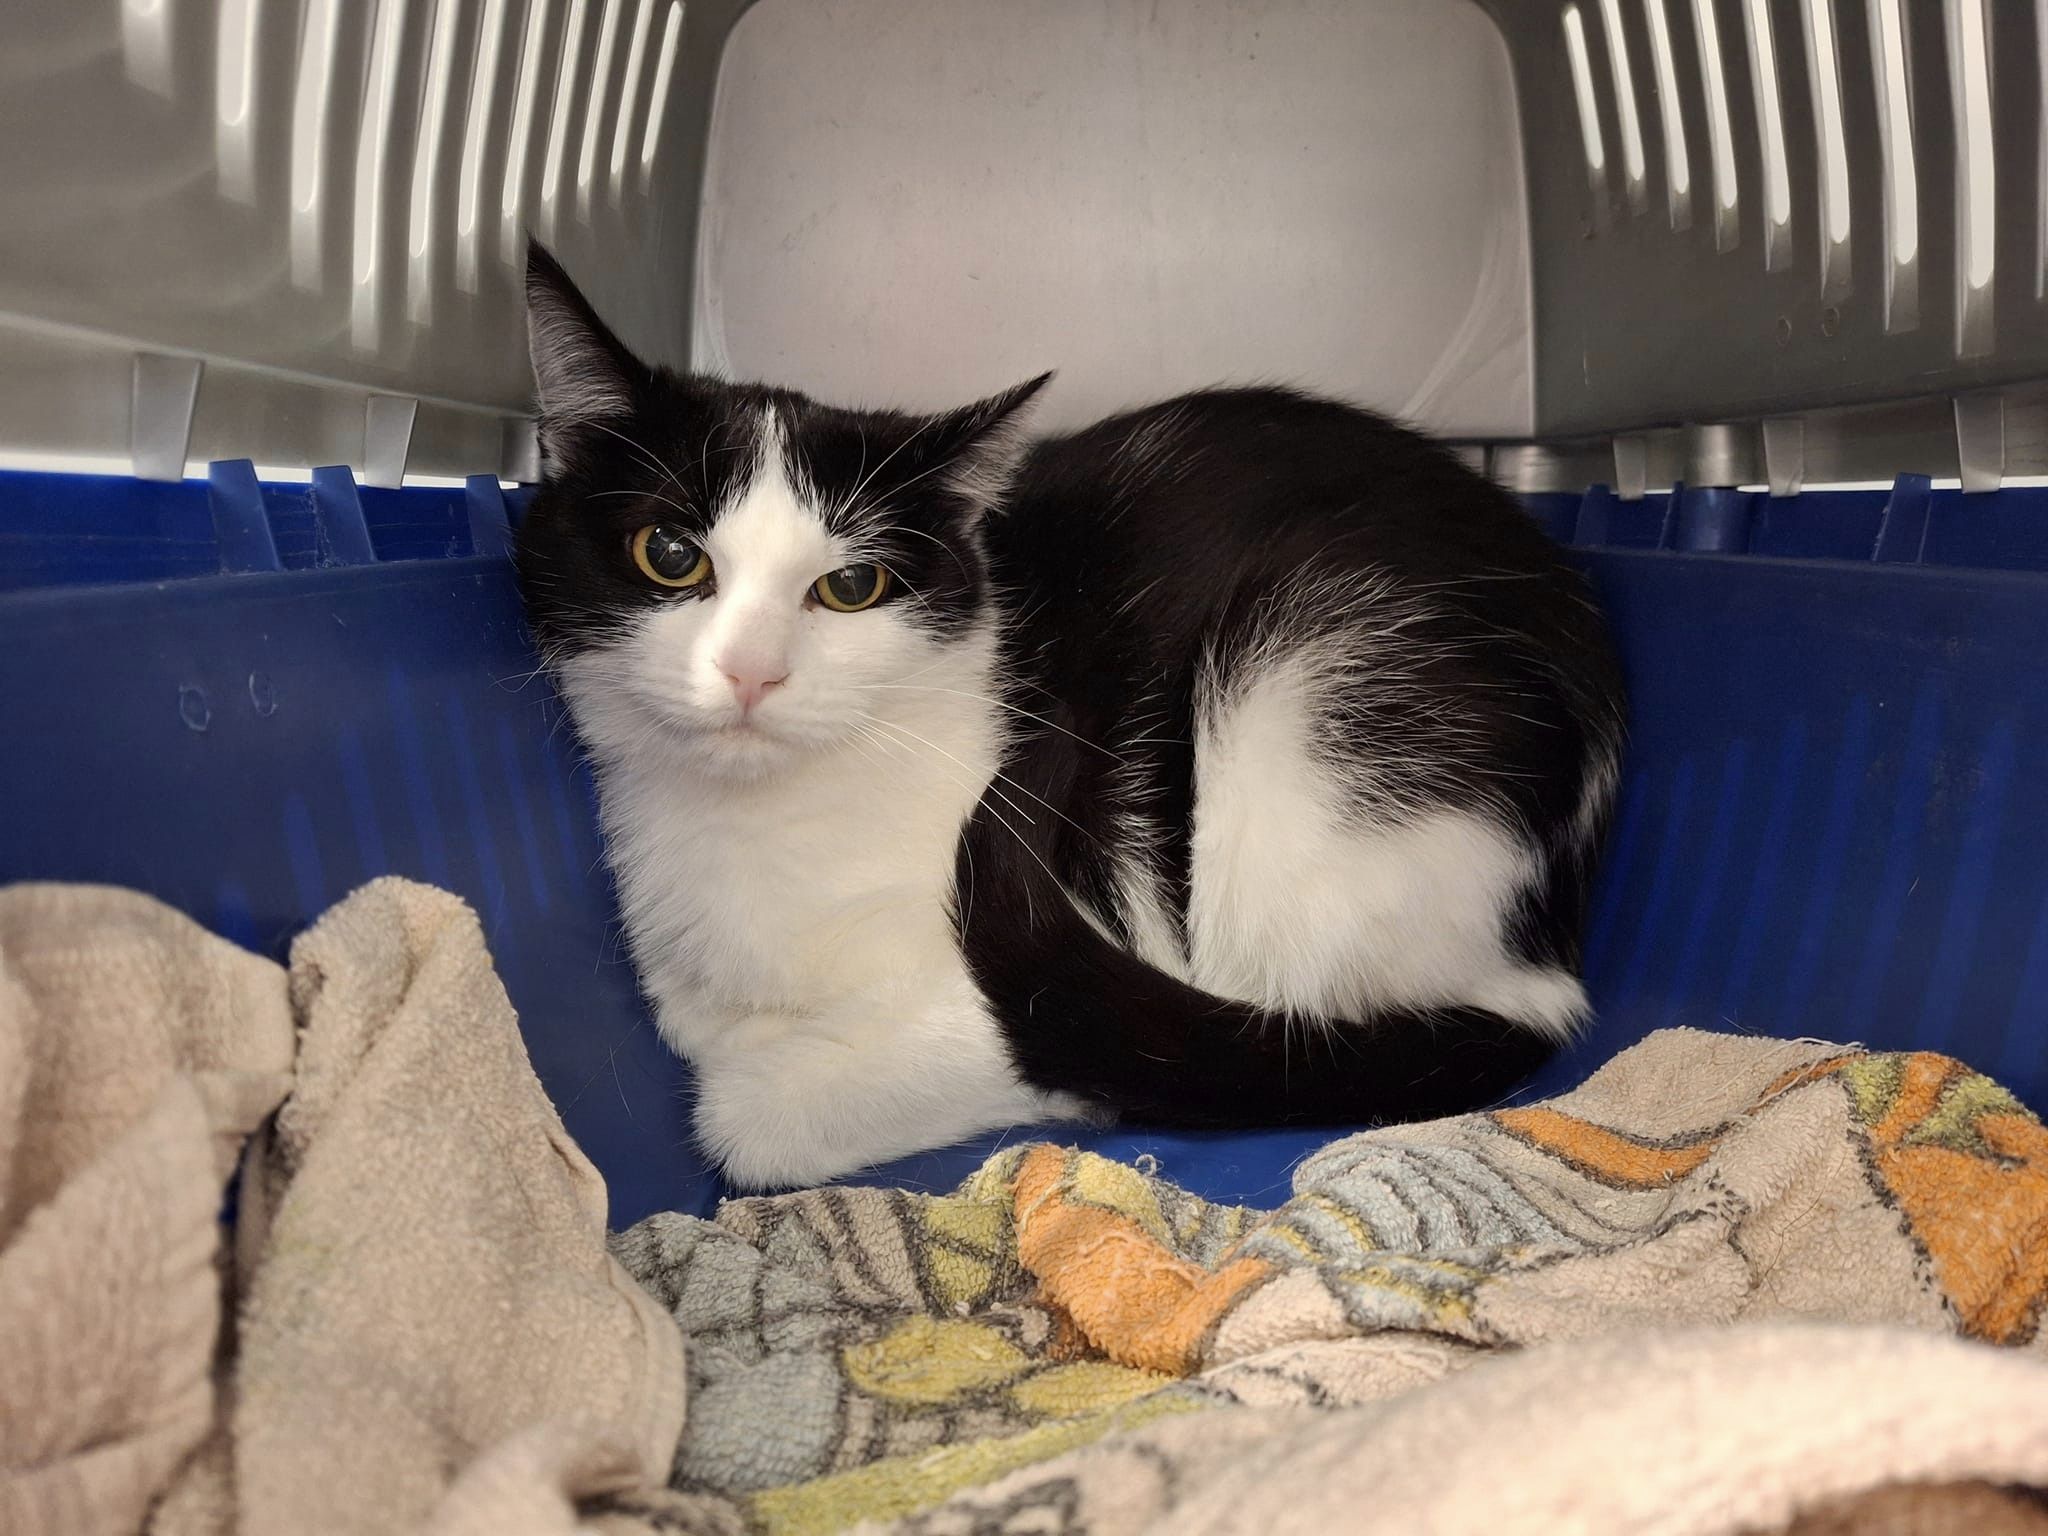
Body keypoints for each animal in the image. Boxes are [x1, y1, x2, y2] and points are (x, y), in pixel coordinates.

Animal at [516, 244, 1626, 1190]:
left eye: (851, 587)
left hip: (1303, 692)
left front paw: (768, 1086)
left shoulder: (1030, 978)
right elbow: (694, 1019)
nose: (751, 672)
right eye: (669, 556)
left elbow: (750, 1118)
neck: (763, 831)